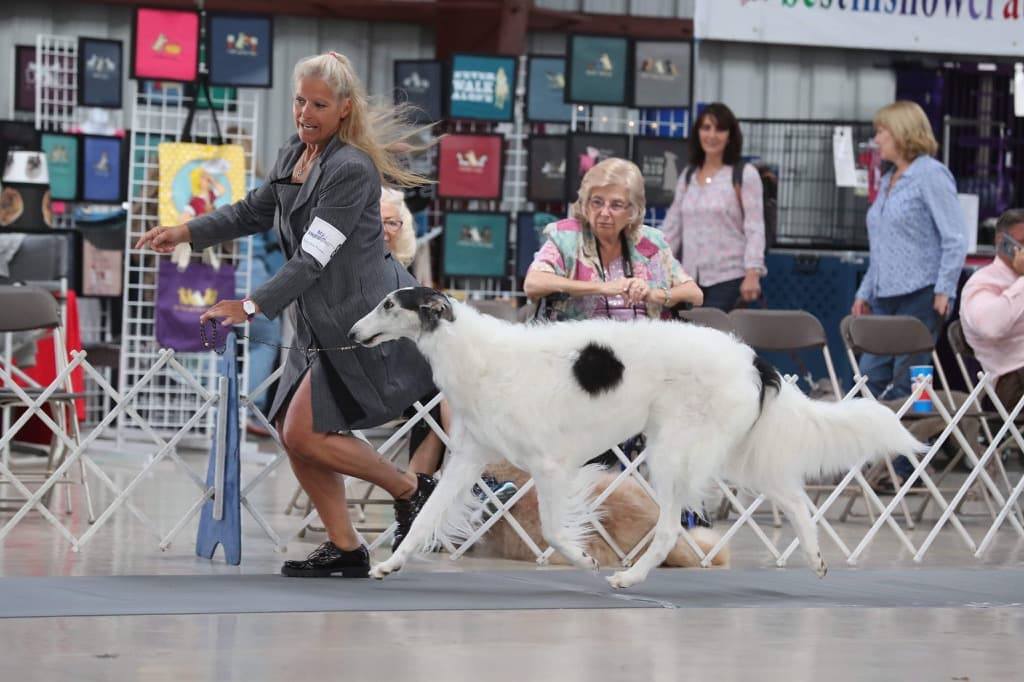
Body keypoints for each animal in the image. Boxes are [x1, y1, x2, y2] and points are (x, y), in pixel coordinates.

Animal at [348, 284, 925, 585]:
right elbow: (423, 519)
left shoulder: (551, 466)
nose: (352, 332)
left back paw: (629, 578)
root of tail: (751, 357)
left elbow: (555, 530)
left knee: (672, 531)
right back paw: (816, 557)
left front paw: (583, 559)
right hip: (732, 453)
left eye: (390, 304)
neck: (477, 355)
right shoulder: (469, 459)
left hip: (674, 455)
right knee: (797, 499)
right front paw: (390, 563)